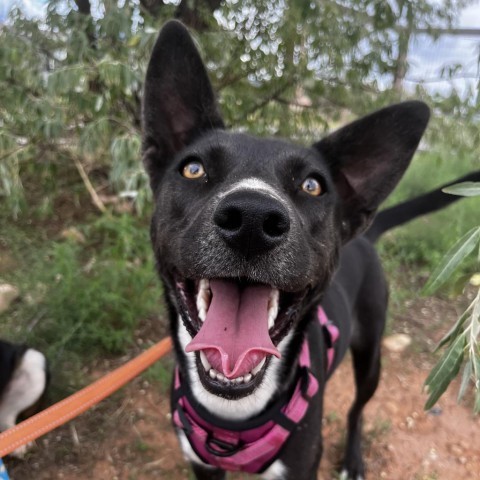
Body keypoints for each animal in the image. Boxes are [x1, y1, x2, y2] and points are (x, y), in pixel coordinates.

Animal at [140, 19, 464, 480]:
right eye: (193, 168)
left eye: (312, 185)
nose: (252, 219)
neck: (233, 414)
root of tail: (365, 234)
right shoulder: (200, 465)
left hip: (371, 358)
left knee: (357, 410)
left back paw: (353, 459)